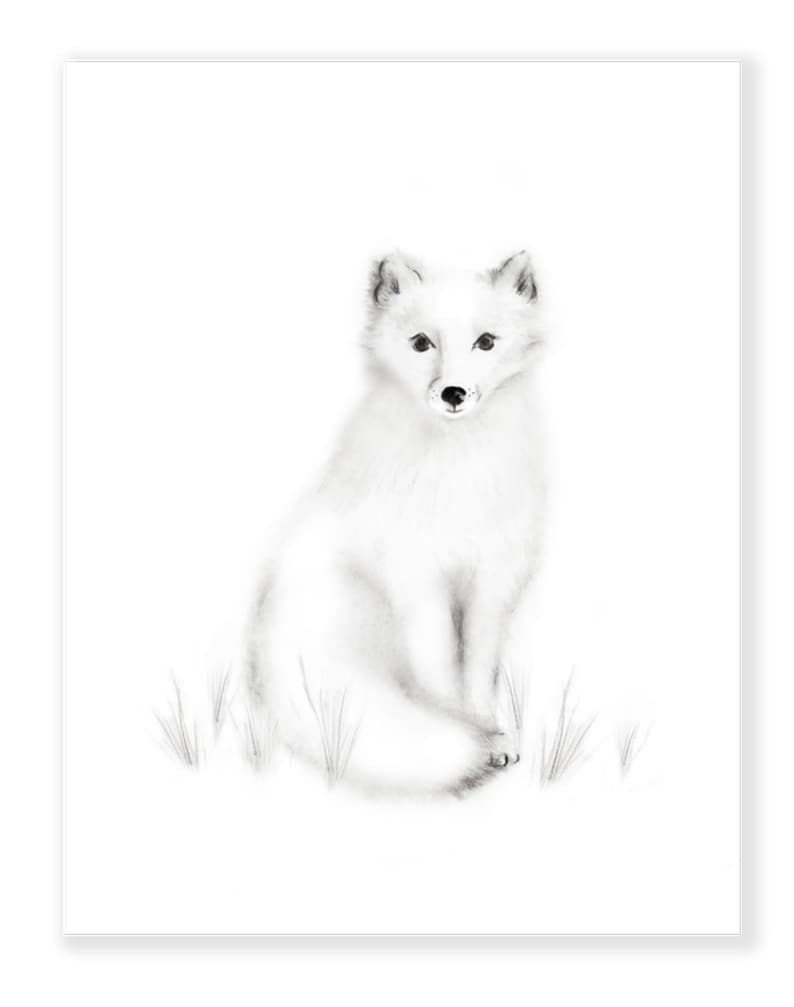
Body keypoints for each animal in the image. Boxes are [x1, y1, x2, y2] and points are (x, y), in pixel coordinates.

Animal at [245, 250, 546, 795]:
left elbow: (477, 671)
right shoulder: (419, 579)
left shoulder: (491, 580)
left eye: (486, 341)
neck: (458, 474)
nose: (453, 393)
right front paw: (474, 738)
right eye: (421, 343)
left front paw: (494, 737)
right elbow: (441, 671)